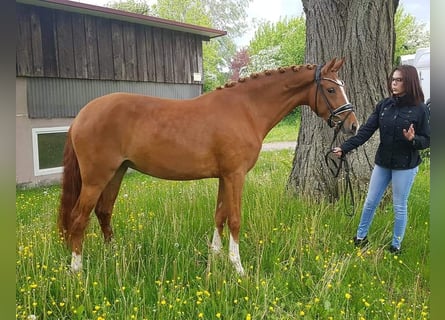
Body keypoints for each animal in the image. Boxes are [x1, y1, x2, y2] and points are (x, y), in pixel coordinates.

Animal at [58, 57, 358, 276]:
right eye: (331, 89)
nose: (353, 125)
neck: (246, 109)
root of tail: (82, 115)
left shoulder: (224, 177)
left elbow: (219, 215)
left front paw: (216, 255)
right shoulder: (235, 175)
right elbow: (234, 219)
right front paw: (238, 268)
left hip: (116, 173)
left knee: (104, 212)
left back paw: (114, 257)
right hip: (96, 178)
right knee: (79, 218)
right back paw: (77, 270)